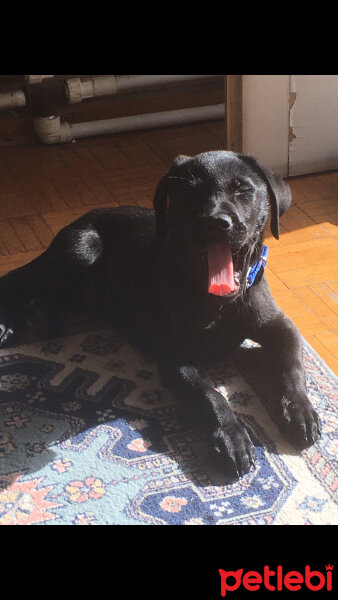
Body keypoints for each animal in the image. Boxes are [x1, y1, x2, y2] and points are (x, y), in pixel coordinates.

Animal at [0, 152, 320, 480]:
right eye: (189, 192)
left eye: (243, 189)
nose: (217, 223)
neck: (219, 304)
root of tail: (80, 219)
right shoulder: (174, 358)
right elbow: (209, 394)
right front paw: (231, 437)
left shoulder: (281, 326)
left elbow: (293, 367)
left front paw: (299, 411)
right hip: (83, 248)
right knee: (16, 280)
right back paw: (9, 325)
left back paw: (41, 318)